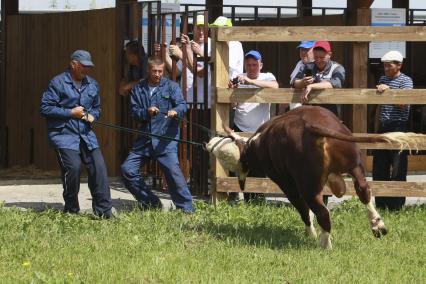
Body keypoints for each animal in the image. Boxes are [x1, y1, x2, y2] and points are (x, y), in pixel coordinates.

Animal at [205, 106, 422, 248]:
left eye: (225, 159)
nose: (208, 144)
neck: (258, 144)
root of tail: (311, 127)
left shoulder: (286, 183)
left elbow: (302, 209)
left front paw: (310, 233)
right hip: (356, 167)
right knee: (364, 192)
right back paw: (377, 225)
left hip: (308, 186)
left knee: (322, 212)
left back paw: (324, 243)